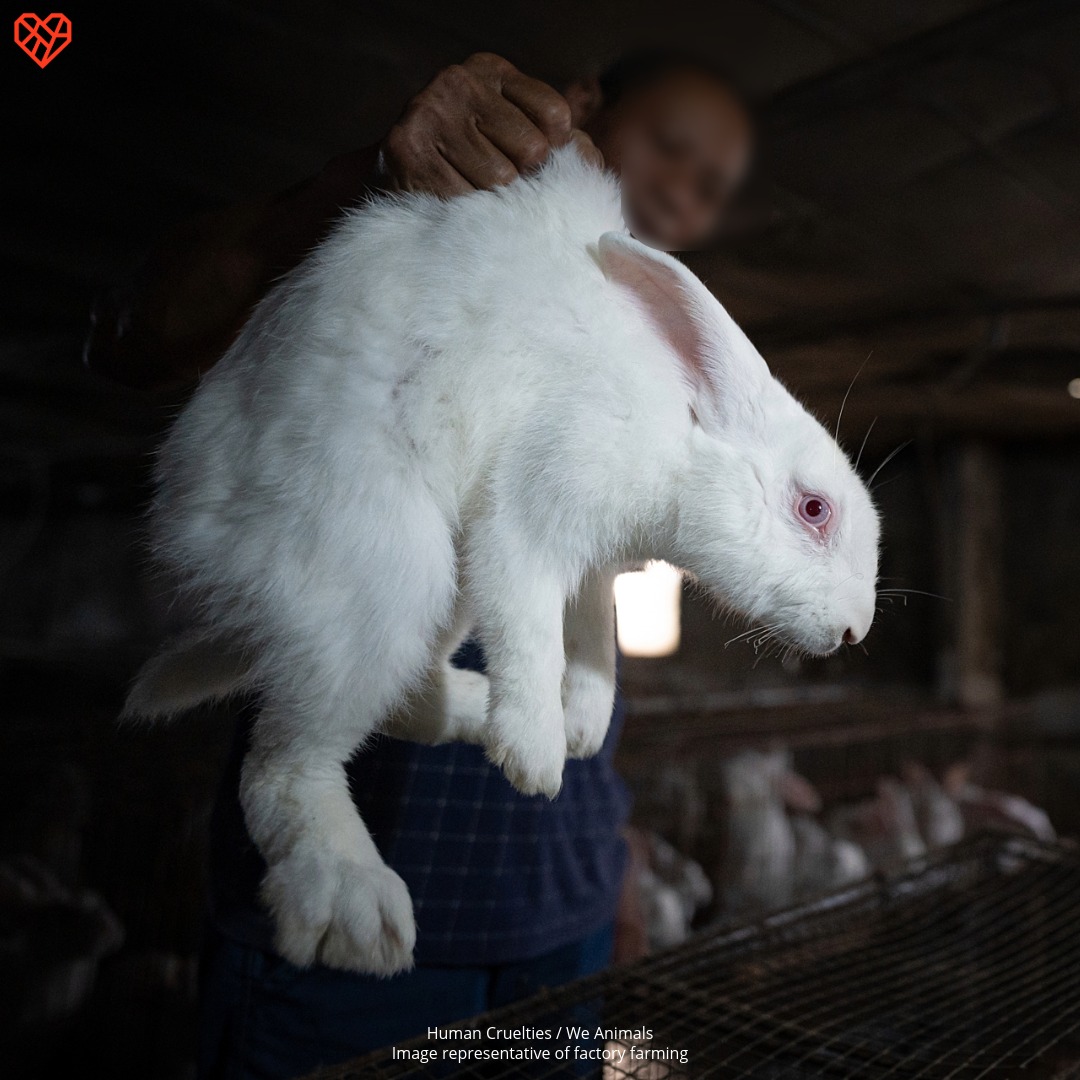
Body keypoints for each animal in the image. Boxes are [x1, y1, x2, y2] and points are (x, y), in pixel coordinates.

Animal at [123, 144, 880, 974]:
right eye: (814, 510)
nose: (856, 630)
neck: (675, 427)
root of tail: (199, 537)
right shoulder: (532, 507)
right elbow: (531, 624)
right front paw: (536, 755)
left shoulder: (594, 565)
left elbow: (595, 638)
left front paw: (581, 726)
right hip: (387, 577)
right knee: (282, 765)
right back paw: (358, 909)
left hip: (438, 596)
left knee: (399, 703)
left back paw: (468, 710)